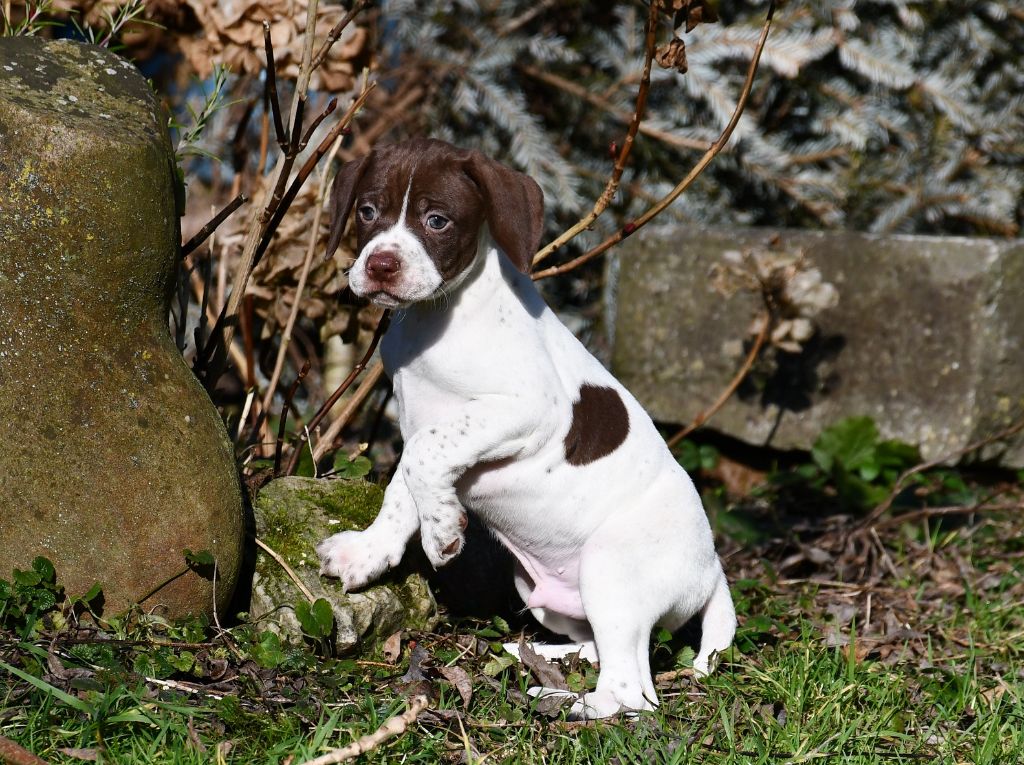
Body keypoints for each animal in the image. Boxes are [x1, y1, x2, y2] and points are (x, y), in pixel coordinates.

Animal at [315, 140, 733, 720]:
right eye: (367, 212)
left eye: (437, 220)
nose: (380, 264)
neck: (435, 317)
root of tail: (711, 569)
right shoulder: (422, 417)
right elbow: (405, 484)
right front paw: (370, 552)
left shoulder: (528, 410)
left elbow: (423, 456)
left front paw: (442, 532)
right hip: (554, 596)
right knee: (602, 649)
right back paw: (540, 655)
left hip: (612, 572)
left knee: (633, 692)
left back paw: (567, 702)